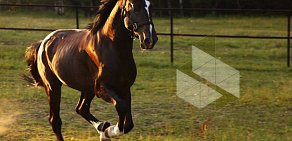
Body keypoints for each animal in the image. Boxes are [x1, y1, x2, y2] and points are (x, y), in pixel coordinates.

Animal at [24, 0, 159, 140]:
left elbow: (128, 123)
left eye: (150, 7)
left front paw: (105, 130)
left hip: (87, 88)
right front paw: (107, 131)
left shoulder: (124, 88)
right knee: (55, 120)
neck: (112, 48)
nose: (150, 39)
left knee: (81, 108)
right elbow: (121, 106)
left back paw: (101, 126)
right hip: (53, 87)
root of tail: (43, 42)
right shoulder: (101, 88)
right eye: (134, 7)